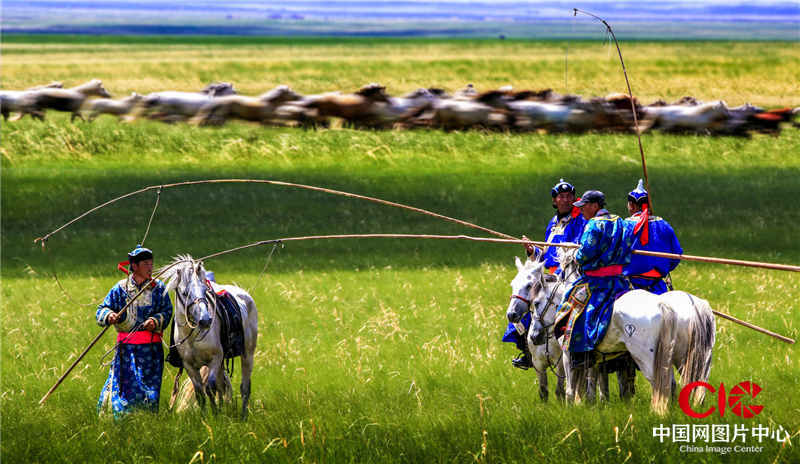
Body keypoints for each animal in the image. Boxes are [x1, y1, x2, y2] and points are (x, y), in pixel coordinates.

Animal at [162, 256, 260, 418]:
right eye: (185, 292)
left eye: (204, 290)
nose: (205, 320)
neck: (192, 337)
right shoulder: (189, 365)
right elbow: (200, 393)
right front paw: (206, 417)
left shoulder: (215, 359)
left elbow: (209, 388)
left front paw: (215, 415)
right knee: (222, 385)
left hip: (247, 354)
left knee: (244, 387)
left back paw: (243, 415)